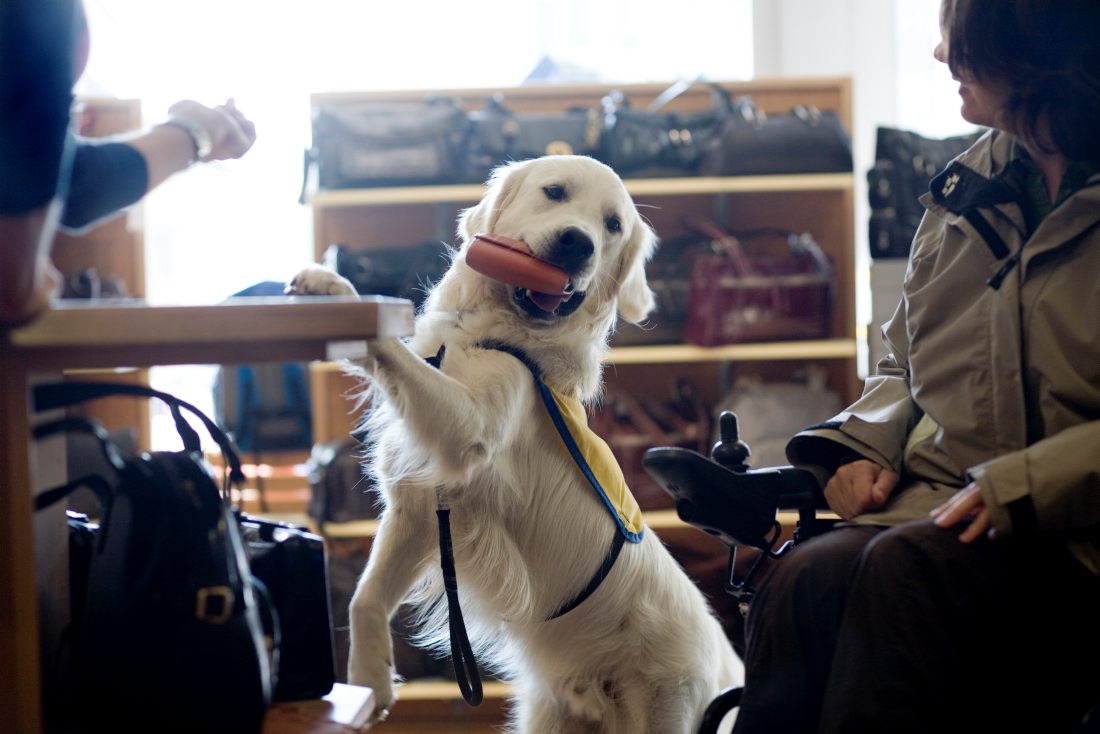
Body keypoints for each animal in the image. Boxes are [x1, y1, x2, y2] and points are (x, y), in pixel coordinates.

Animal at [288, 156, 743, 734]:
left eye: (613, 225)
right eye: (555, 192)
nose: (577, 243)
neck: (499, 334)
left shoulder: (472, 429)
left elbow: (398, 354)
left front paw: (340, 294)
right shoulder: (419, 510)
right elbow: (363, 599)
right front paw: (370, 682)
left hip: (667, 709)